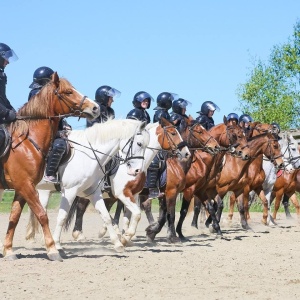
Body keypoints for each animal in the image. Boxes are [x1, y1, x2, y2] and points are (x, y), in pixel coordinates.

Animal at [0, 72, 99, 260]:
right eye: (68, 92)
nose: (95, 108)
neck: (27, 142)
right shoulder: (26, 185)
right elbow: (42, 214)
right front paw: (52, 249)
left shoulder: (21, 188)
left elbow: (14, 217)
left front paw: (8, 251)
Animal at [26, 118, 190, 252]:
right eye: (173, 133)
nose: (186, 153)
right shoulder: (123, 194)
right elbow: (141, 214)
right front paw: (127, 236)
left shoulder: (132, 194)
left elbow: (128, 216)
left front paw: (125, 238)